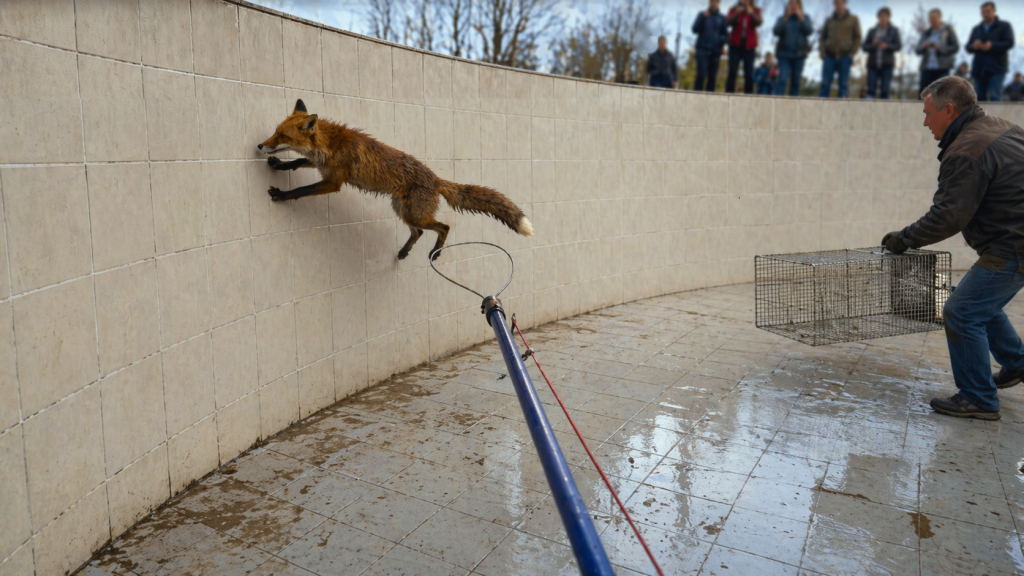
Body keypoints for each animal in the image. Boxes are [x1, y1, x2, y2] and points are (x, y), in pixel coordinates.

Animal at [257, 99, 533, 260]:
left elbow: (301, 190)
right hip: (401, 209)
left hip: (413, 213)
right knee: (419, 232)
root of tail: (436, 179)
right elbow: (296, 163)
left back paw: (435, 253)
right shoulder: (321, 164)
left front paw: (281, 194)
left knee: (443, 227)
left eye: (282, 136)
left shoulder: (333, 182)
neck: (331, 143)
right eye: (275, 132)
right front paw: (279, 164)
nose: (260, 145)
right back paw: (403, 252)